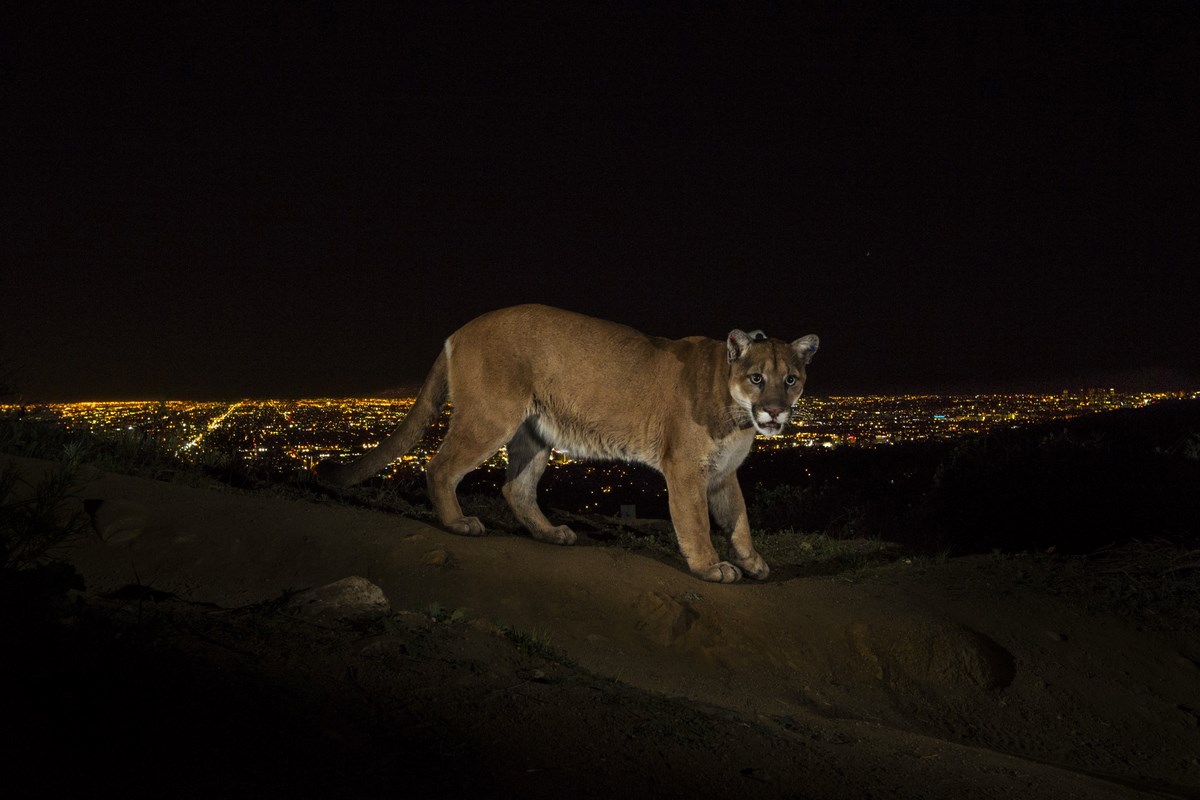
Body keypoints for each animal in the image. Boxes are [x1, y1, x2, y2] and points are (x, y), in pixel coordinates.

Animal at [319, 303, 820, 585]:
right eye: (757, 378)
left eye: (790, 380)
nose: (775, 412)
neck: (737, 414)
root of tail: (459, 331)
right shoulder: (686, 469)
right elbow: (696, 523)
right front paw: (711, 568)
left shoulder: (722, 472)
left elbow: (740, 520)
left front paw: (753, 561)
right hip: (490, 417)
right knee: (439, 467)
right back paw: (459, 523)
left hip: (536, 432)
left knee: (515, 488)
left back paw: (550, 533)